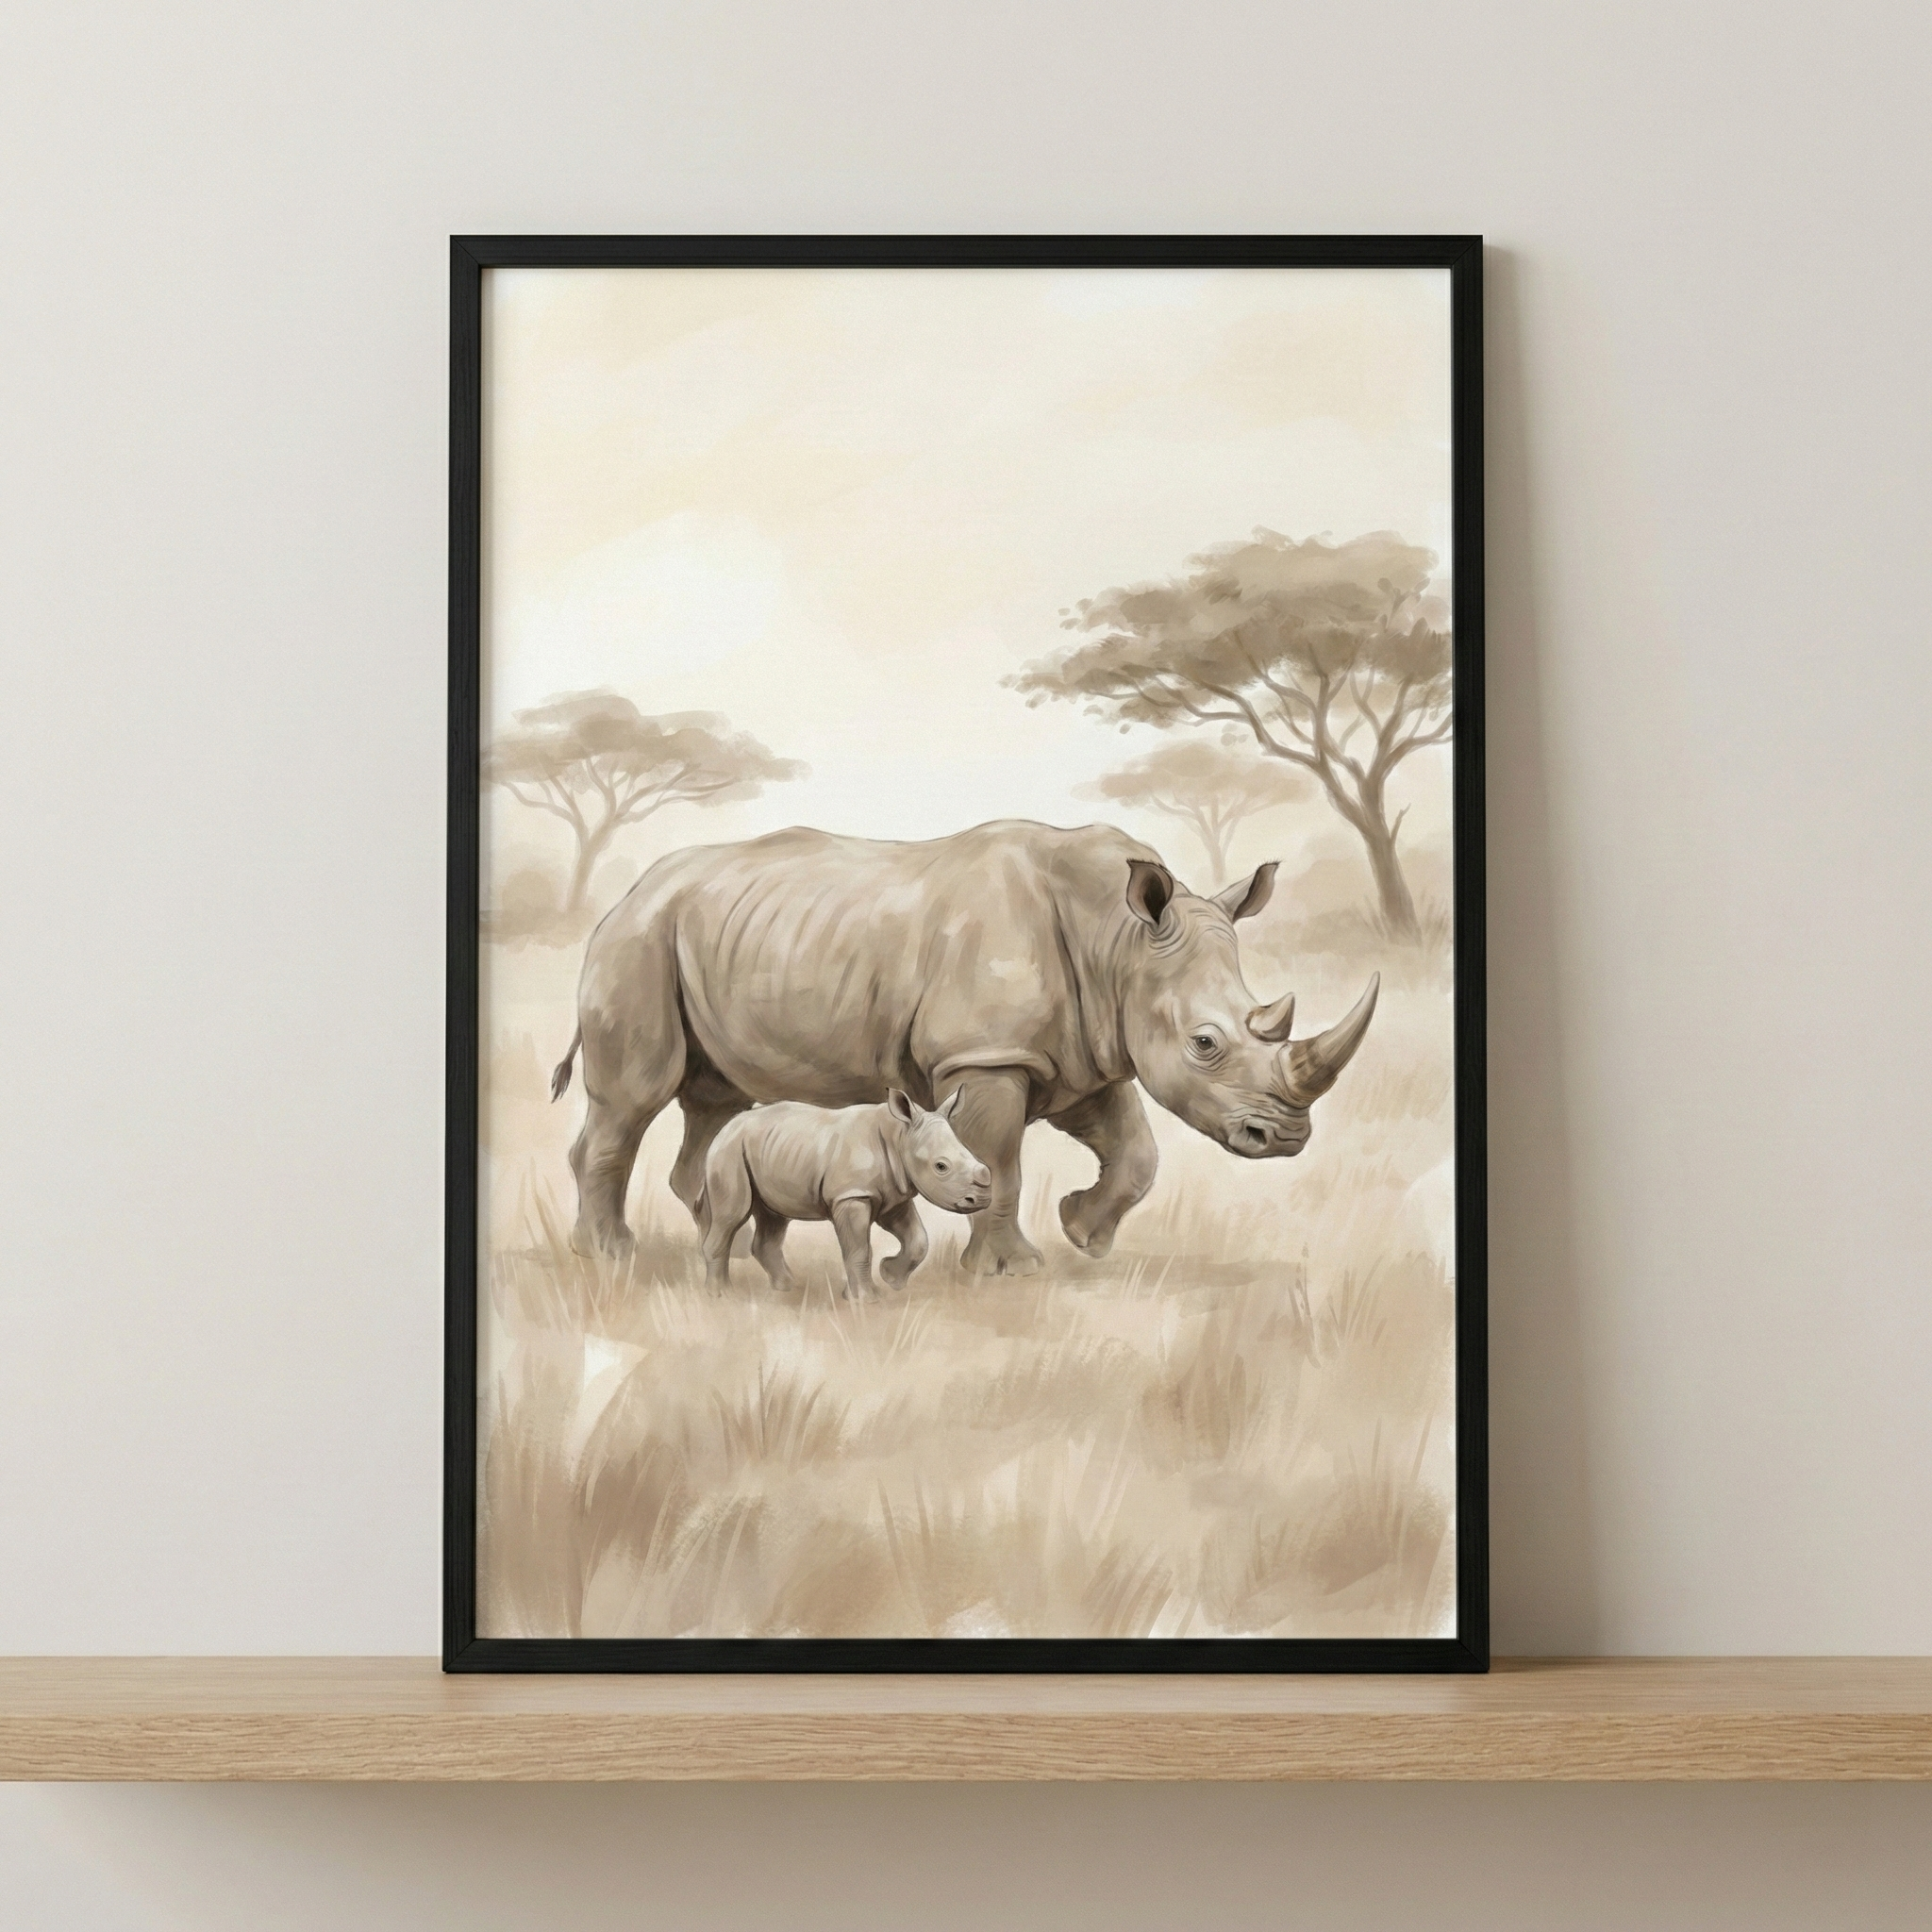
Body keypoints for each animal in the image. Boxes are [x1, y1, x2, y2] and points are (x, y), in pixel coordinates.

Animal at [550, 819, 1378, 1274]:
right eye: (1205, 1042)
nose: (1286, 1137)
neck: (1118, 940)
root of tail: (621, 899)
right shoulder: (988, 1054)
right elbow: (1002, 1157)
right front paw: (1012, 1270)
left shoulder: (1080, 1053)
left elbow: (1136, 1150)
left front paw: (1084, 1233)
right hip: (637, 943)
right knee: (635, 1098)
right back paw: (610, 1255)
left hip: (704, 938)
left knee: (713, 1100)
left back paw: (710, 1236)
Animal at [697, 1088, 991, 1298]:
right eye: (941, 1167)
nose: (983, 1200)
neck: (900, 1137)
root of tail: (725, 1128)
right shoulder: (852, 1195)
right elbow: (859, 1248)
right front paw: (865, 1299)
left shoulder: (894, 1197)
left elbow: (918, 1240)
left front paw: (890, 1278)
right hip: (729, 1151)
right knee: (731, 1215)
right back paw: (722, 1294)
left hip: (767, 1150)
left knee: (773, 1216)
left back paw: (787, 1287)